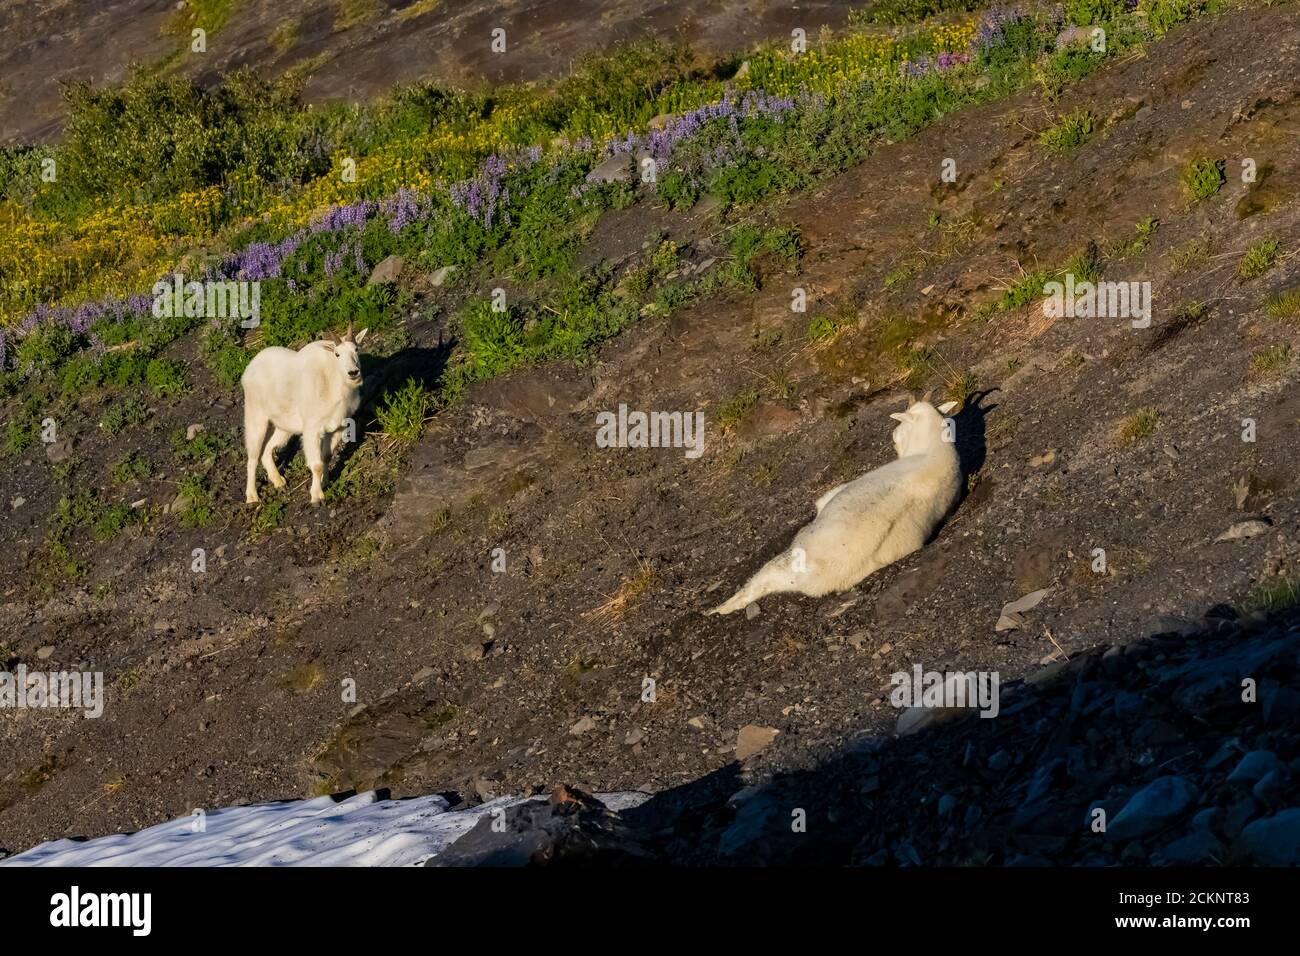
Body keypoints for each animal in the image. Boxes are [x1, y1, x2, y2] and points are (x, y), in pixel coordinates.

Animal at [241, 323, 369, 506]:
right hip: (256, 418)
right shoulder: (312, 430)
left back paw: (279, 482)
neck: (332, 383)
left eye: (356, 350)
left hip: (284, 426)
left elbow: (326, 457)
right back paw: (252, 497)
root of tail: (249, 368)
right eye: (337, 354)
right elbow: (316, 465)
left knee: (267, 450)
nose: (353, 373)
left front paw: (325, 483)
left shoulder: (336, 428)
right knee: (252, 457)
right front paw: (317, 496)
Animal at [707, 395, 962, 615]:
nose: (895, 442)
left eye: (898, 430)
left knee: (763, 577)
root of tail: (822, 576)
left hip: (795, 554)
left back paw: (719, 608)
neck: (933, 450)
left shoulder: (832, 495)